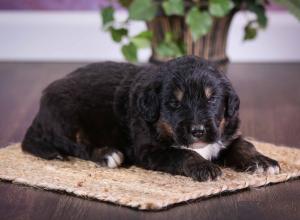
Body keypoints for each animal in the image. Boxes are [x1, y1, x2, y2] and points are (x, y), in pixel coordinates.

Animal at [22, 55, 280, 180]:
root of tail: (39, 112)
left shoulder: (225, 133)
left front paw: (263, 162)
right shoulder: (149, 150)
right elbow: (183, 153)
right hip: (67, 118)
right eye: (174, 103)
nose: (198, 131)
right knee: (77, 145)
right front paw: (203, 166)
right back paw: (108, 154)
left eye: (212, 99)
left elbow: (244, 144)